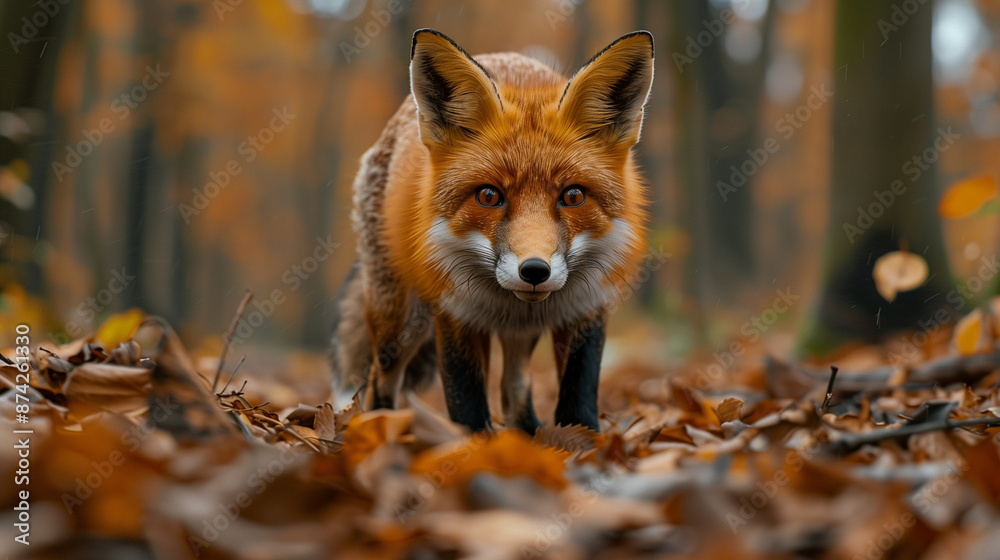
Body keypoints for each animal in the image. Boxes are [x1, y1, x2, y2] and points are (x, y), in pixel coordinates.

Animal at [331, 28, 653, 433]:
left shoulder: (587, 306)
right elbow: (466, 402)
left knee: (513, 387)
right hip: (400, 325)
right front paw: (474, 445)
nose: (535, 271)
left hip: (519, 334)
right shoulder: (455, 310)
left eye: (573, 196)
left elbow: (578, 396)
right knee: (379, 379)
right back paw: (376, 429)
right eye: (489, 196)